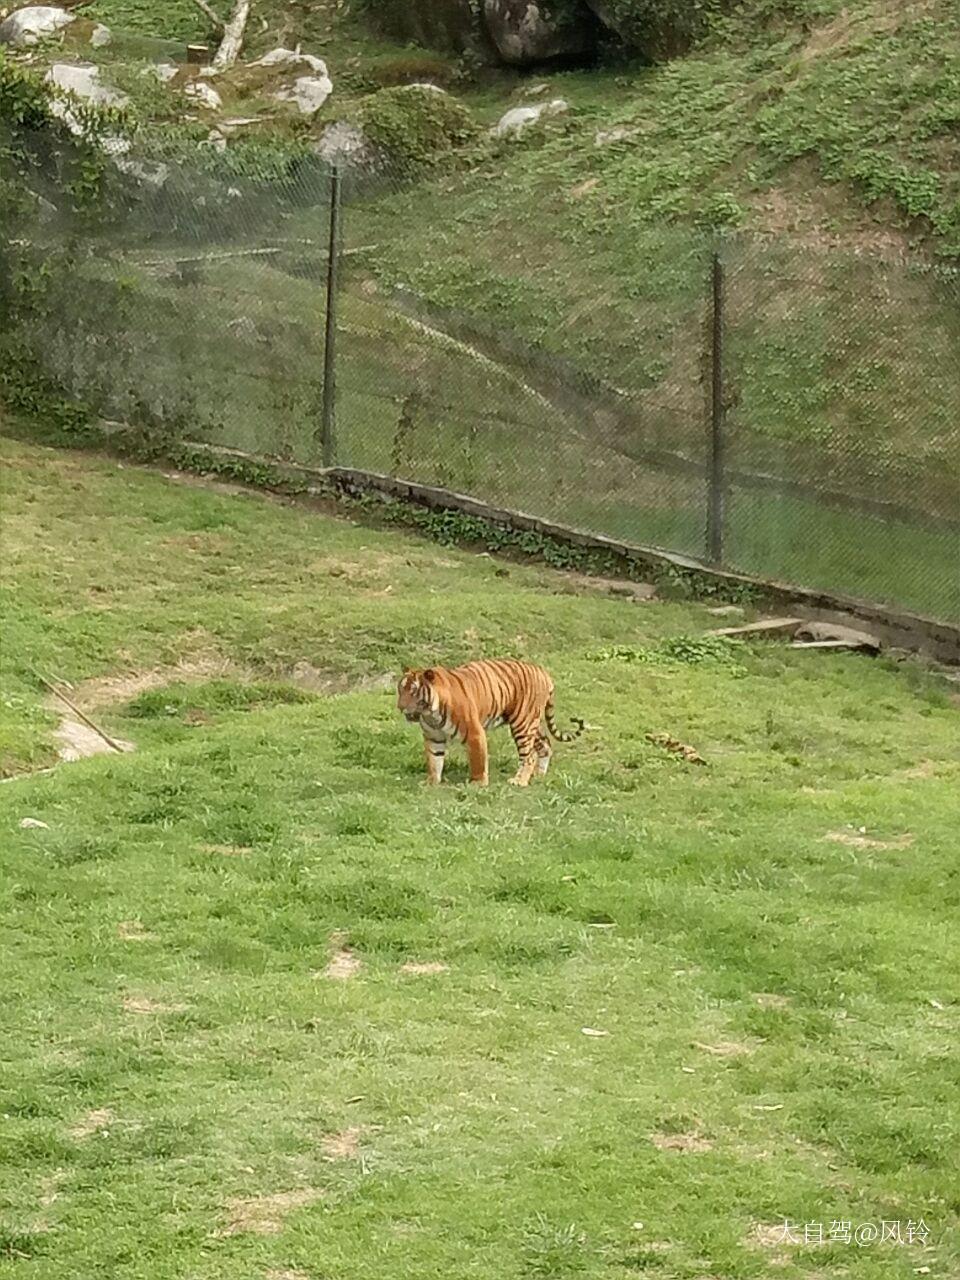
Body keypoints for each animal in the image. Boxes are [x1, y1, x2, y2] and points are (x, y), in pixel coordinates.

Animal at [391, 665, 586, 783]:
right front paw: (431, 782)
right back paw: (538, 775)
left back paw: (519, 781)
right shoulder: (433, 738)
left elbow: (477, 759)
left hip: (522, 724)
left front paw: (477, 784)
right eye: (400, 689)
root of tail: (542, 671)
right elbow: (434, 761)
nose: (399, 707)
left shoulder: (474, 733)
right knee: (545, 746)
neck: (431, 714)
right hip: (531, 723)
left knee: (529, 755)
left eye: (413, 691)